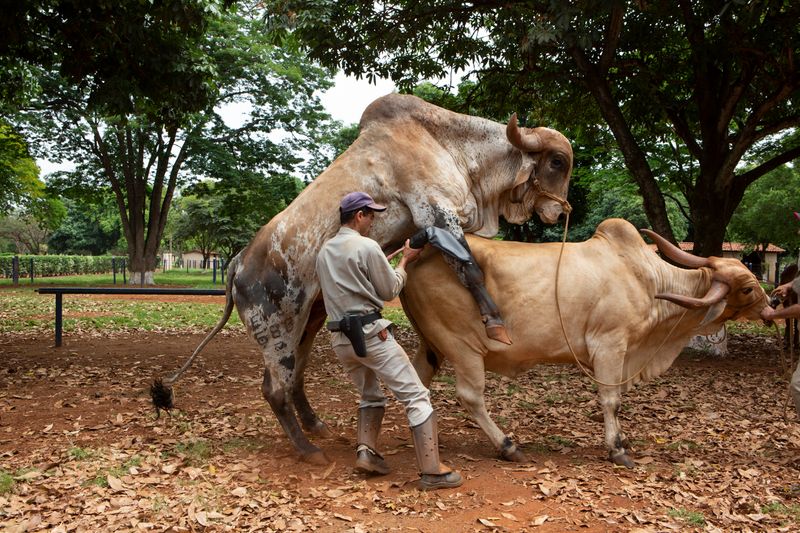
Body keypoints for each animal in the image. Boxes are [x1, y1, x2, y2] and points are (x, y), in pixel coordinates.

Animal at [152, 94, 573, 464]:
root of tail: (238, 263)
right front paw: (495, 322)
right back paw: (308, 450)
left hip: (309, 320)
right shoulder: (435, 212)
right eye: (556, 162)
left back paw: (317, 426)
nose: (559, 212)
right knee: (274, 389)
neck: (449, 143)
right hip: (275, 329)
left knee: (295, 377)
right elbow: (469, 268)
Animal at [401, 218, 770, 468]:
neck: (646, 278)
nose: (772, 305)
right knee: (470, 396)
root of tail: (417, 256)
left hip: (431, 345)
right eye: (748, 288)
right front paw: (617, 448)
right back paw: (507, 445)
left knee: (419, 384)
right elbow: (611, 400)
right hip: (462, 346)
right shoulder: (609, 345)